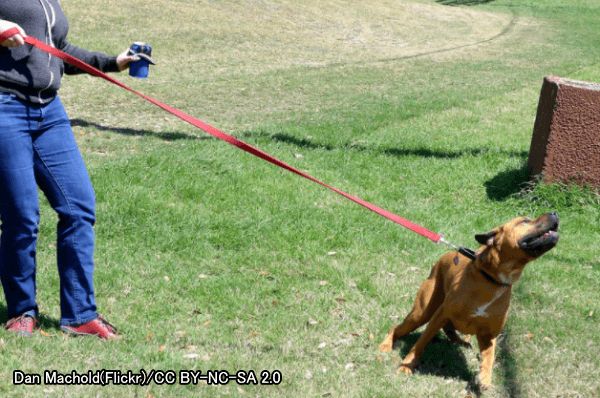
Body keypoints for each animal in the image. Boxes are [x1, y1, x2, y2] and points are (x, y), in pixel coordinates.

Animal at [380, 213, 556, 390]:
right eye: (525, 221)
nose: (554, 214)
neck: (492, 280)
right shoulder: (441, 314)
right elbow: (420, 343)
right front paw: (408, 364)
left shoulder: (488, 334)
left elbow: (490, 355)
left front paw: (485, 376)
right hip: (421, 314)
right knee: (396, 328)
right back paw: (386, 345)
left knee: (449, 329)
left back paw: (461, 341)